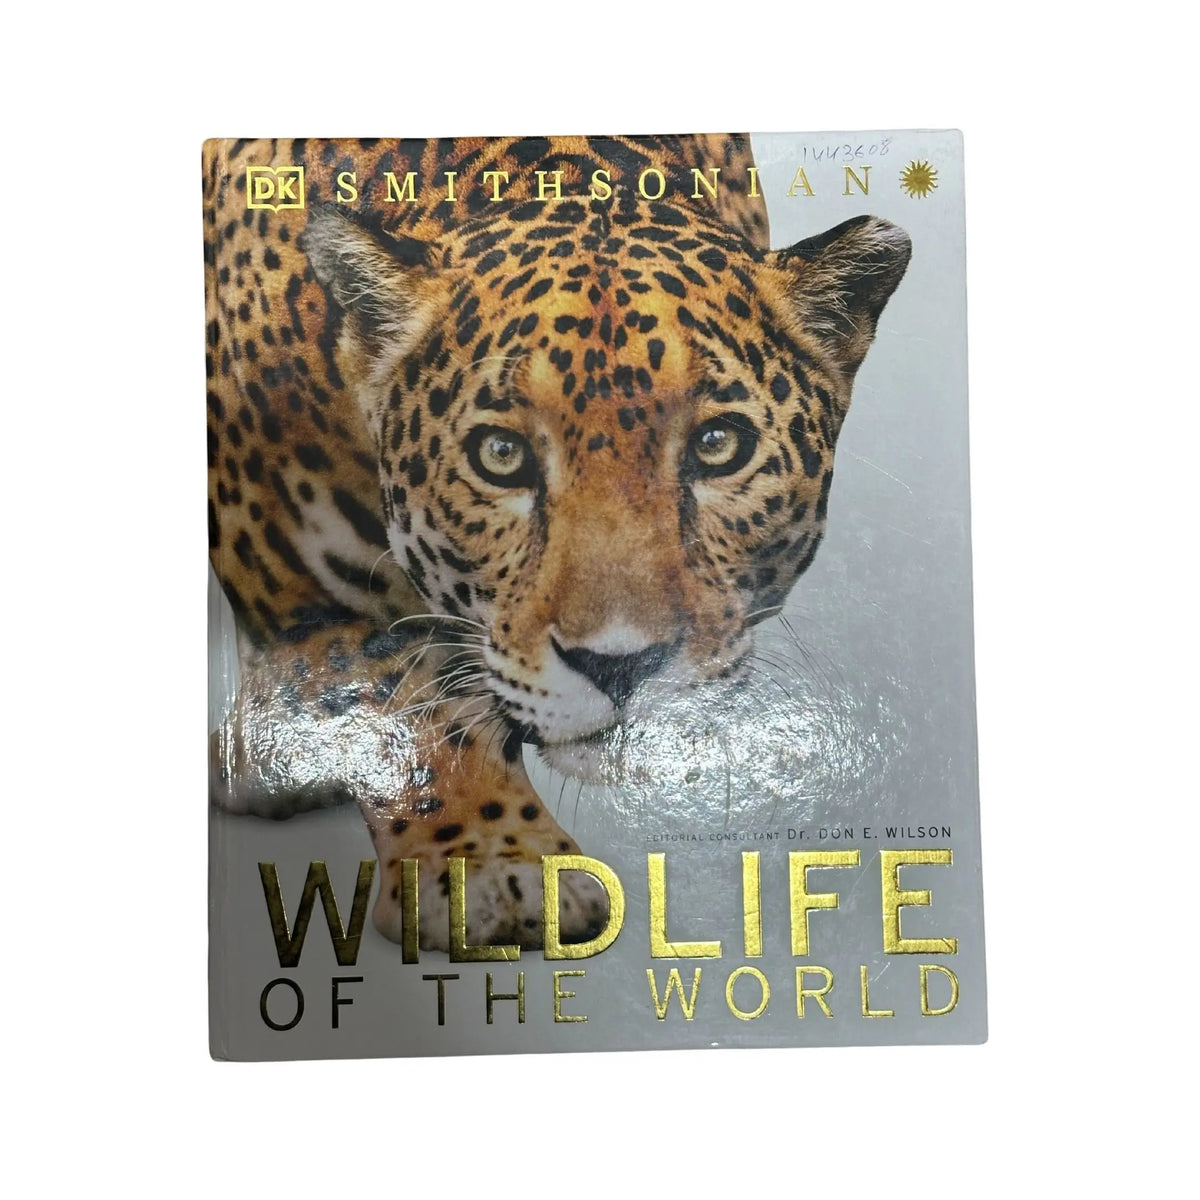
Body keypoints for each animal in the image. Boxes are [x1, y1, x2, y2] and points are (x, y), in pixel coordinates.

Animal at [203, 135, 911, 952]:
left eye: (718, 444)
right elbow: (397, 696)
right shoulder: (280, 561)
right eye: (500, 455)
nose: (621, 665)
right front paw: (492, 864)